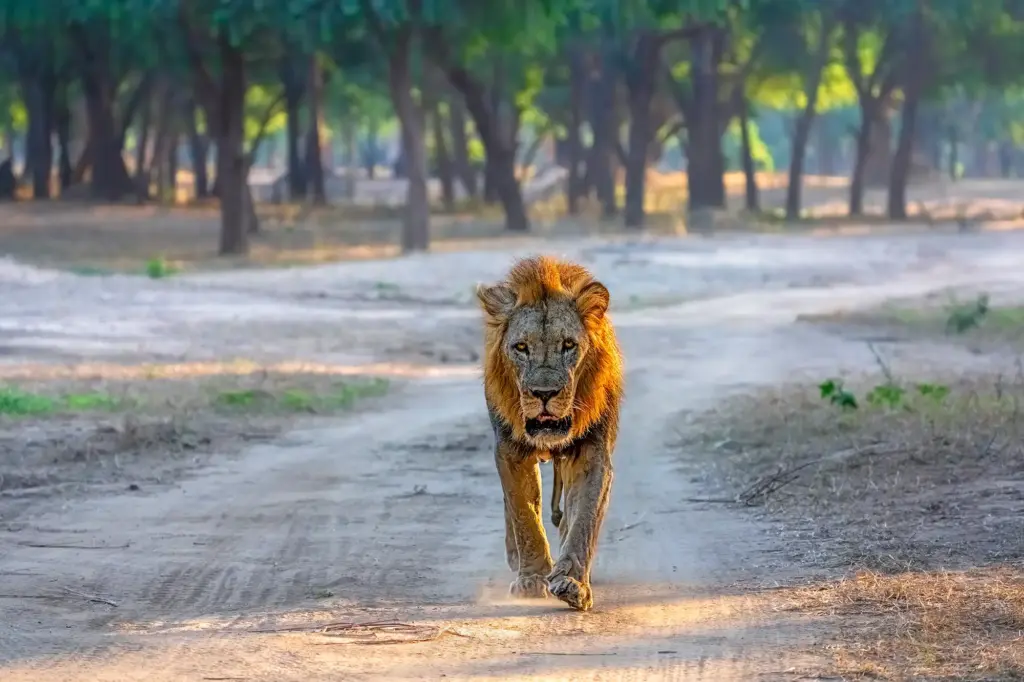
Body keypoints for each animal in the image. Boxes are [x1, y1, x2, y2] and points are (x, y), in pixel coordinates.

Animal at [476, 255, 623, 612]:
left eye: (568, 345)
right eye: (521, 347)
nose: (545, 393)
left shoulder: (593, 451)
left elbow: (584, 517)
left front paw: (572, 582)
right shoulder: (510, 450)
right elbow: (524, 514)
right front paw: (531, 578)